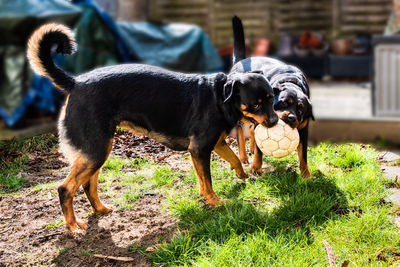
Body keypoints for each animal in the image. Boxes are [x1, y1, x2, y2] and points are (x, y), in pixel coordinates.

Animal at [27, 24, 278, 231]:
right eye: (256, 104)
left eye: (271, 97)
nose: (275, 121)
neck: (220, 97)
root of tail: (75, 82)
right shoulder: (199, 149)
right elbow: (207, 181)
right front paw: (215, 201)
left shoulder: (215, 143)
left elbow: (234, 159)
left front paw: (243, 176)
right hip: (95, 150)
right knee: (65, 188)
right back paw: (73, 225)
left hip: (98, 150)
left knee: (88, 184)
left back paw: (100, 209)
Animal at [230, 15, 314, 177]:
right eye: (284, 102)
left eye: (300, 109)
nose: (291, 117)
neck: (290, 81)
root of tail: (240, 61)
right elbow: (259, 151)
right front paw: (256, 168)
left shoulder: (304, 129)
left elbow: (303, 154)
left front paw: (306, 175)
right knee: (240, 131)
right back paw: (243, 157)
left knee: (251, 129)